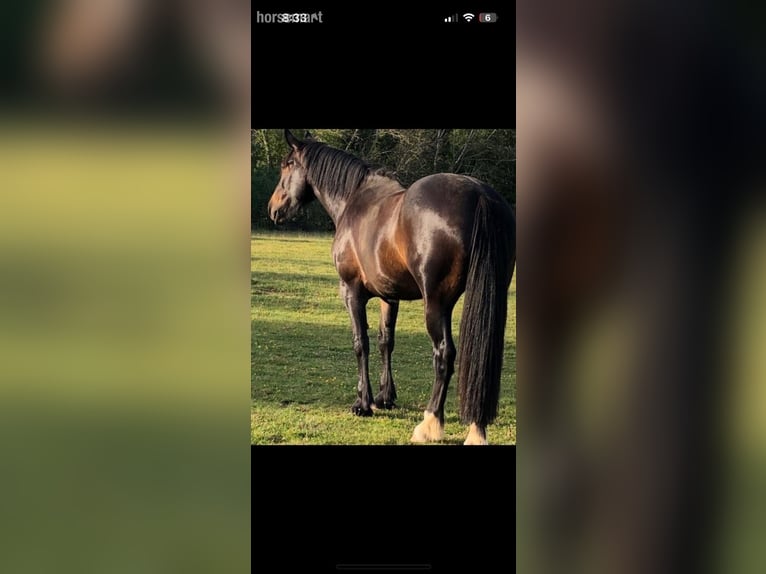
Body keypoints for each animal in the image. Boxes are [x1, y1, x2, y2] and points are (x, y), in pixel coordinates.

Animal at [267, 129, 516, 444]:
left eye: (287, 165)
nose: (273, 208)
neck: (353, 200)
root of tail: (479, 194)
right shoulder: (390, 296)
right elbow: (386, 340)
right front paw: (385, 398)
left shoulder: (351, 292)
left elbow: (361, 342)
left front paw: (363, 403)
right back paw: (476, 429)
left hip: (437, 304)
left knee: (444, 353)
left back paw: (430, 423)